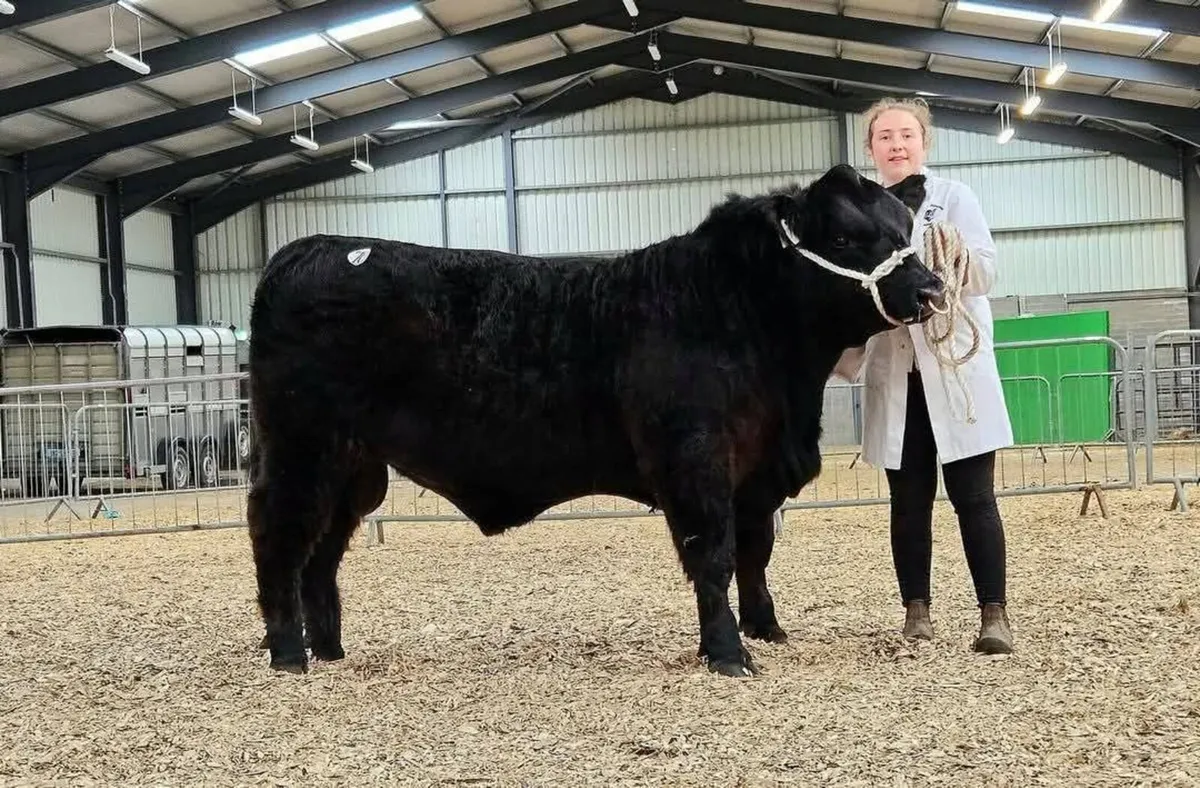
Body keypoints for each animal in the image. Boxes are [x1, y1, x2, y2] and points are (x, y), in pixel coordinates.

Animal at [246, 163, 944, 678]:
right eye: (845, 238)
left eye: (905, 227)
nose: (932, 289)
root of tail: (307, 250)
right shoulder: (695, 459)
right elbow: (714, 554)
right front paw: (728, 654)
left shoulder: (754, 472)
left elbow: (755, 553)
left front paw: (767, 628)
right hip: (301, 446)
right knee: (280, 535)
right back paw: (288, 654)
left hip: (354, 465)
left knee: (323, 551)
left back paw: (330, 649)